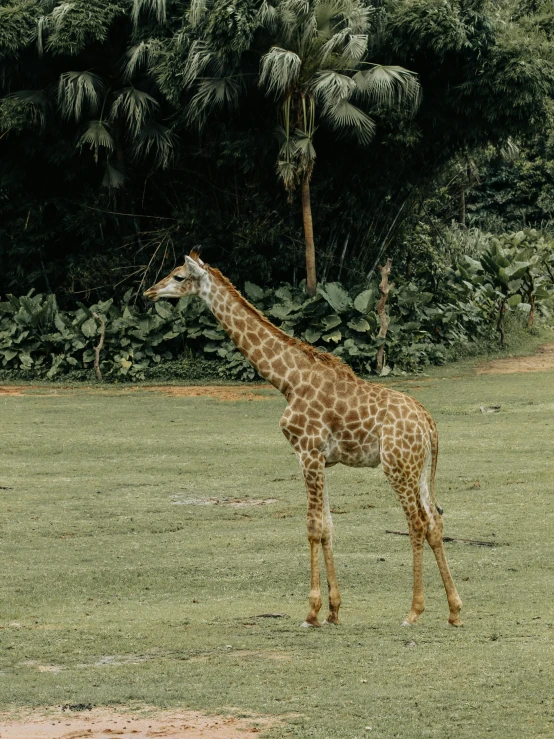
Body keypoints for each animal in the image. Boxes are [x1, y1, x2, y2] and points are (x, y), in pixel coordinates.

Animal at [143, 251, 462, 628]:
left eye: (178, 276)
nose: (150, 292)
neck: (288, 381)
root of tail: (429, 424)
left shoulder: (307, 452)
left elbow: (312, 526)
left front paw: (311, 611)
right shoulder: (320, 459)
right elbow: (328, 525)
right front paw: (334, 610)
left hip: (397, 467)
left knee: (416, 523)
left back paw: (413, 611)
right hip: (420, 468)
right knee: (435, 522)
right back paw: (455, 610)